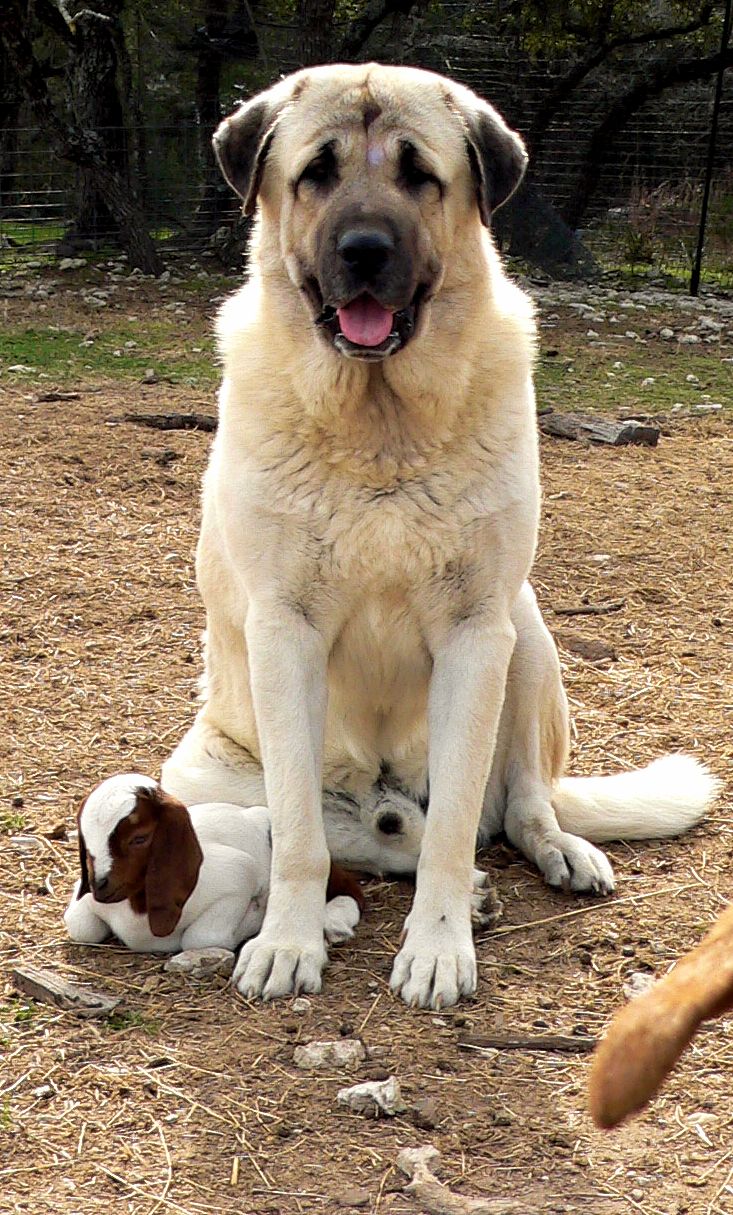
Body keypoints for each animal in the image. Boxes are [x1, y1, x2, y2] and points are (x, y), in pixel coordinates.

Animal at [162, 64, 719, 1006]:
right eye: (316, 172)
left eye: (419, 174)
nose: (363, 251)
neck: (379, 419)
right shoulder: (284, 632)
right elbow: (301, 835)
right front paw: (287, 942)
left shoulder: (474, 632)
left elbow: (456, 826)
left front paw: (437, 945)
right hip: (200, 768)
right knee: (342, 824)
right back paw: (393, 826)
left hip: (524, 632)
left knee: (522, 803)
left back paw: (544, 850)